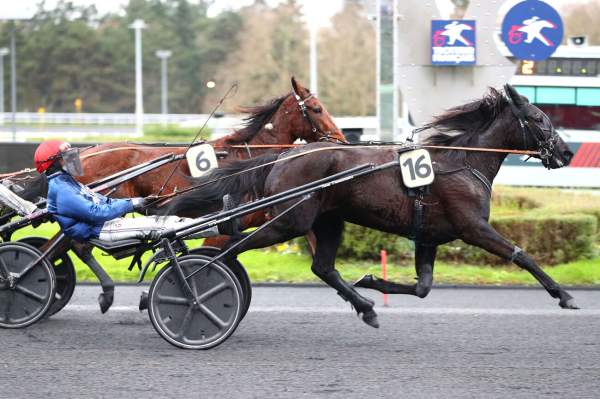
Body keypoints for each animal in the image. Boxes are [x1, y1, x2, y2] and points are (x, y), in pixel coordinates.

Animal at [162, 84, 576, 328]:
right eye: (539, 118)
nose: (567, 152)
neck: (463, 162)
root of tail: (282, 156)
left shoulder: (428, 236)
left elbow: (423, 287)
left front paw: (373, 280)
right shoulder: (472, 227)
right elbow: (520, 254)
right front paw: (564, 295)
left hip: (327, 221)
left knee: (321, 266)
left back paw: (366, 306)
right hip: (289, 222)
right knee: (231, 246)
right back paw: (196, 285)